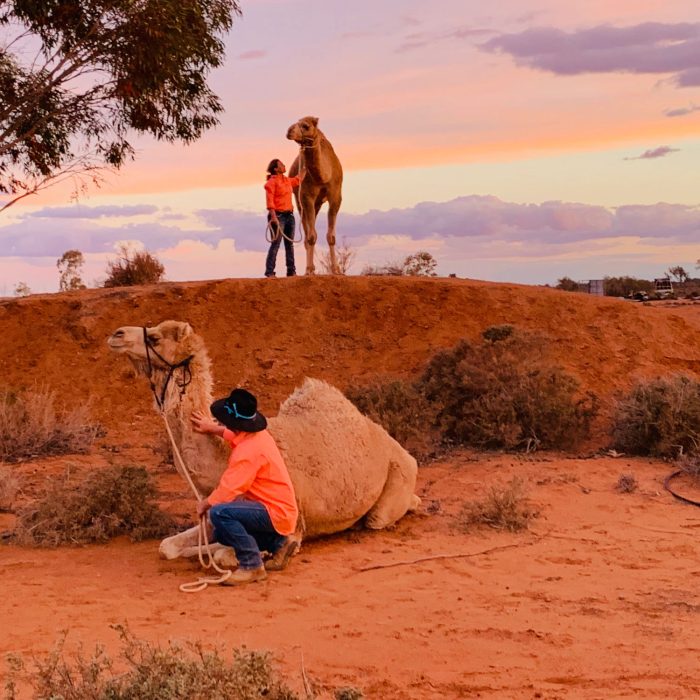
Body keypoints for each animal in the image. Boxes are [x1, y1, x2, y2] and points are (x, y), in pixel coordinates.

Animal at [106, 320, 418, 560]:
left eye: (155, 338)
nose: (116, 334)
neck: (222, 459)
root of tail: (398, 447)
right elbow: (167, 547)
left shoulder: (291, 525)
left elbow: (226, 551)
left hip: (397, 478)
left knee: (379, 517)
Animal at [286, 116, 344, 274]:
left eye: (305, 126)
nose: (289, 131)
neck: (324, 176)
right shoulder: (307, 197)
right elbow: (311, 236)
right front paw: (309, 271)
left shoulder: (336, 196)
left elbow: (331, 236)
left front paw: (336, 270)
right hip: (300, 202)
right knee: (307, 235)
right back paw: (309, 269)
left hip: (317, 204)